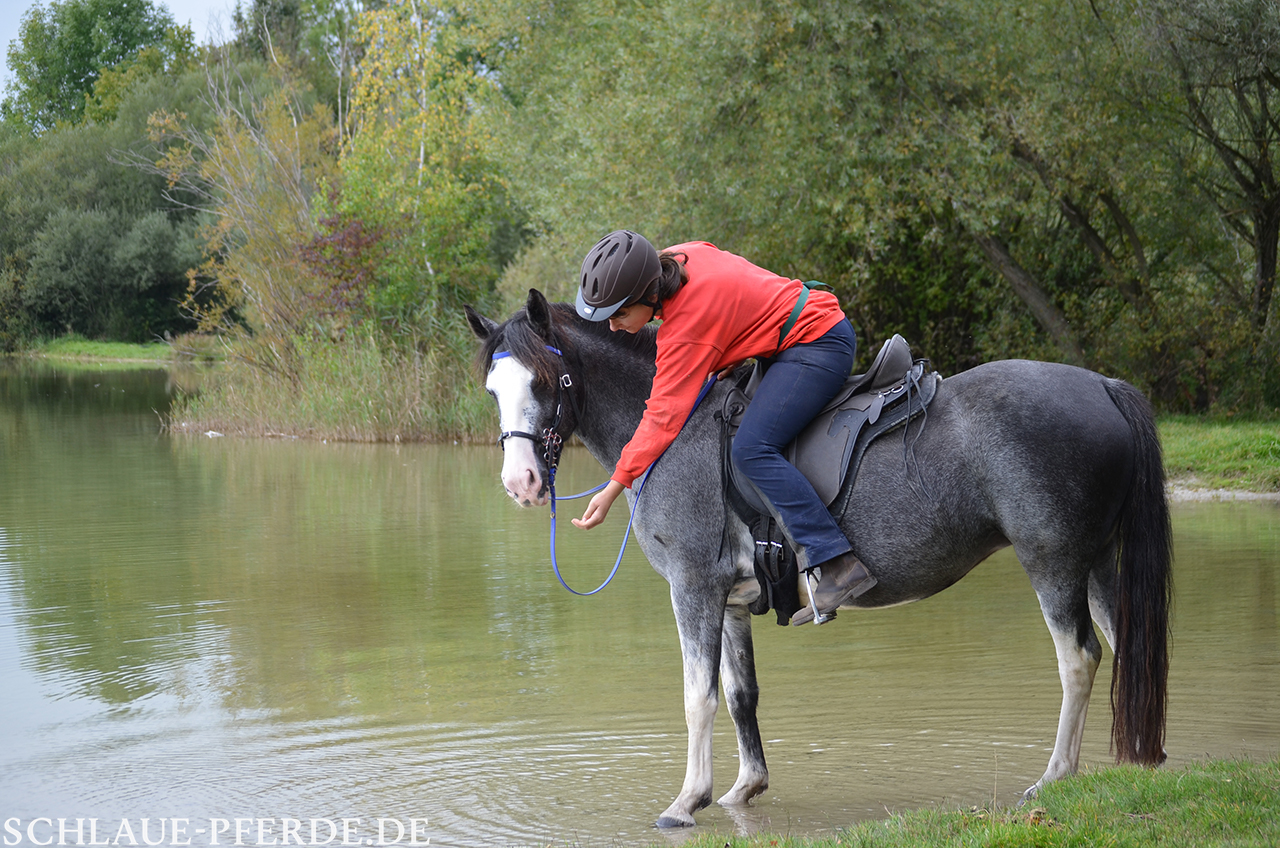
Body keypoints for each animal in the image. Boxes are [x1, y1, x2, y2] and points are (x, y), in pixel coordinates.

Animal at [464, 289, 1171, 829]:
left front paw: (686, 801)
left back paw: (1054, 778)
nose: (521, 482)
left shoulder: (692, 587)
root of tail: (1102, 385)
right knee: (1124, 646)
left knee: (1078, 659)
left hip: (1053, 561)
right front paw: (743, 788)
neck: (677, 431)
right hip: (1096, 564)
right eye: (493, 388)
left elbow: (698, 697)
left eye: (545, 379)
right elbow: (740, 694)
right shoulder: (731, 601)